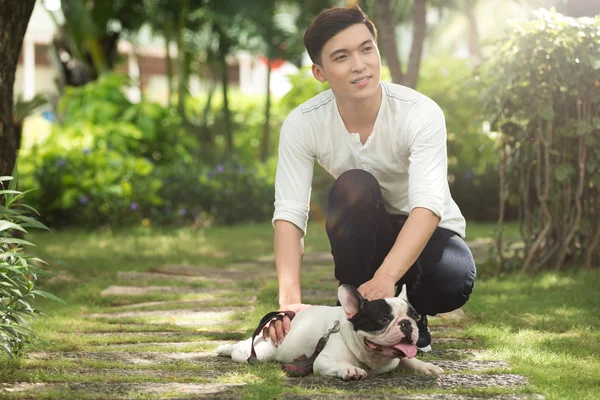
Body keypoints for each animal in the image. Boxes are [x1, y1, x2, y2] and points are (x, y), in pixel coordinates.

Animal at [216, 282, 440, 380]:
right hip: (259, 353)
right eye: (384, 319)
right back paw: (225, 348)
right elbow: (340, 363)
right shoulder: (323, 360)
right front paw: (350, 370)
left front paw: (426, 366)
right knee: (241, 348)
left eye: (415, 317)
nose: (407, 324)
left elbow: (409, 359)